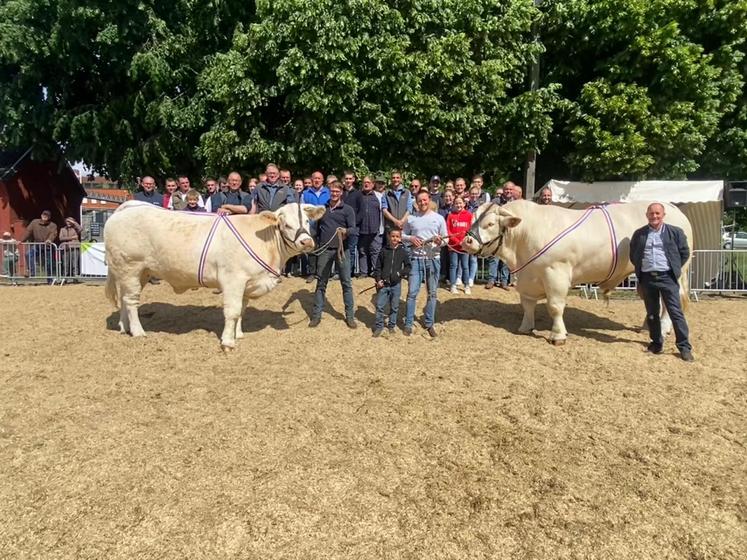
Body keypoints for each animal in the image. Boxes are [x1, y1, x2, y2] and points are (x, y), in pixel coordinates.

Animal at [104, 201, 325, 350]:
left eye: (307, 221)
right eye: (286, 224)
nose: (307, 242)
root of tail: (127, 208)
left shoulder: (246, 284)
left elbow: (241, 311)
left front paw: (238, 334)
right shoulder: (233, 280)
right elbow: (232, 311)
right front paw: (228, 342)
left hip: (139, 272)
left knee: (124, 299)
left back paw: (125, 327)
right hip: (131, 267)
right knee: (131, 301)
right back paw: (138, 332)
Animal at [461, 200, 692, 344]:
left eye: (490, 223)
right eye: (473, 219)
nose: (467, 241)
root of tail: (675, 209)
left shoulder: (556, 273)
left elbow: (555, 307)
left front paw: (558, 335)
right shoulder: (527, 278)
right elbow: (527, 305)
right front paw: (525, 327)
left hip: (677, 273)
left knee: (672, 298)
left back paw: (664, 328)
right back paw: (647, 326)